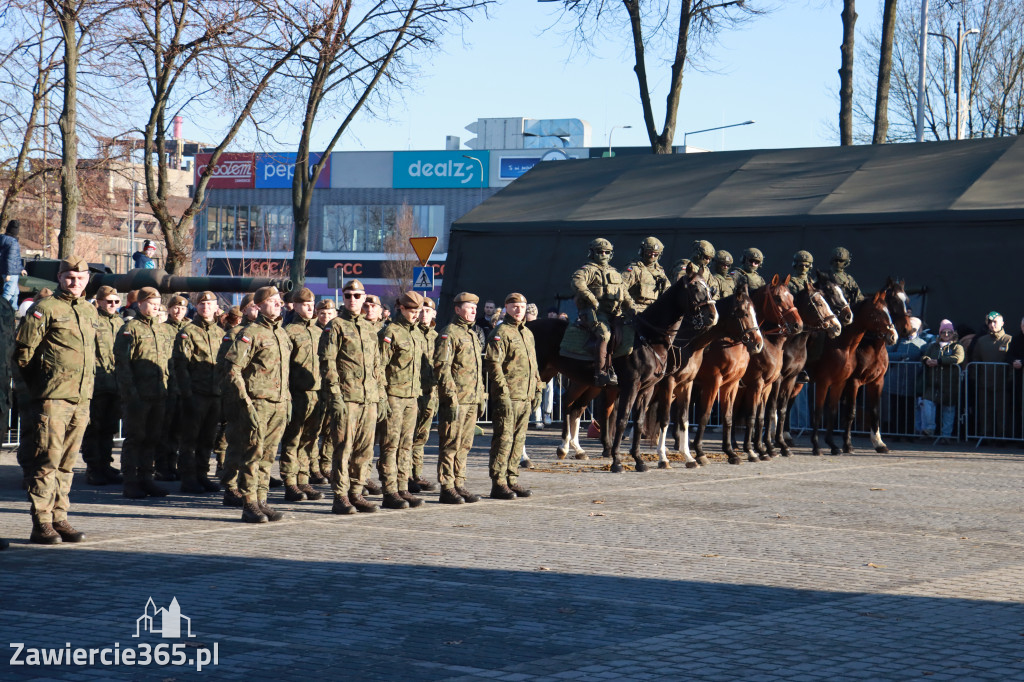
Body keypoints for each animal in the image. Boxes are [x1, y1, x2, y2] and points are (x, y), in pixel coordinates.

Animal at [692, 284, 765, 464]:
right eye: (744, 313)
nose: (758, 344)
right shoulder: (712, 383)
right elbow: (704, 415)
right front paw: (700, 451)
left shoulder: (731, 385)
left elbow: (728, 417)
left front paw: (730, 452)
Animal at [806, 276, 897, 456]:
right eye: (877, 313)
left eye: (889, 312)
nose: (893, 336)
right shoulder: (852, 382)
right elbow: (850, 413)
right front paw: (847, 444)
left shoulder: (876, 382)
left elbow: (874, 411)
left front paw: (879, 443)